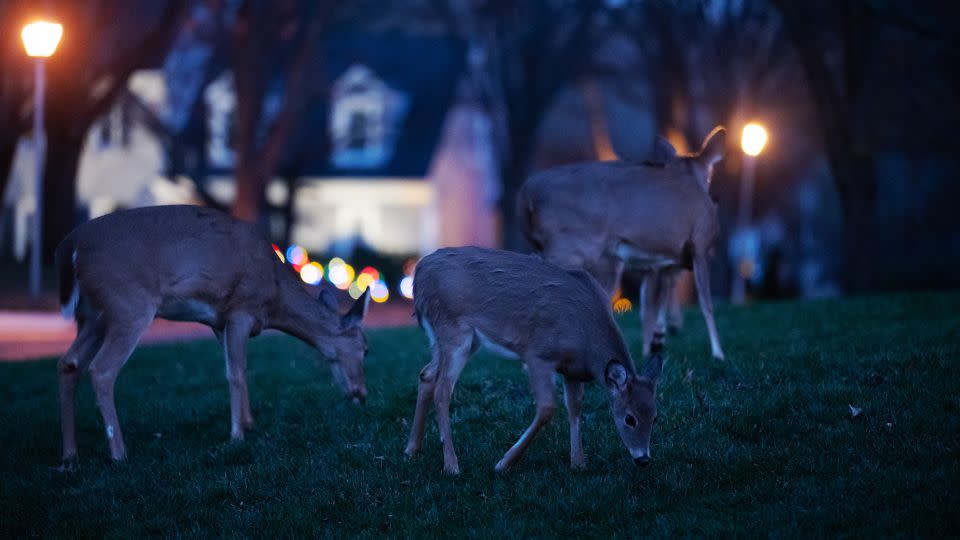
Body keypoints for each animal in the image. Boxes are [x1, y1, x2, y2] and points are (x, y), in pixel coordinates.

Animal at [53, 205, 372, 470]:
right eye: (366, 349)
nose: (361, 394)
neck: (275, 296)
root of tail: (71, 245)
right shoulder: (241, 309)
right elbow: (236, 374)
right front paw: (237, 435)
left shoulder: (220, 322)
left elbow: (237, 368)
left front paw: (249, 423)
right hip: (127, 305)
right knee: (102, 370)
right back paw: (119, 453)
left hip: (92, 316)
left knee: (69, 363)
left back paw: (70, 455)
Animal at [402, 247, 664, 474]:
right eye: (630, 418)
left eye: (655, 417)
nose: (643, 459)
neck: (586, 337)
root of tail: (419, 273)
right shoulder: (538, 354)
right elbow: (548, 407)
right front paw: (504, 463)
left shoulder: (572, 369)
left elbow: (575, 407)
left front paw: (578, 462)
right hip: (454, 329)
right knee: (442, 390)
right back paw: (451, 465)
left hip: (457, 338)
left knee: (427, 375)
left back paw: (412, 449)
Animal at [516, 127, 728, 358]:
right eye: (710, 175)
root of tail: (526, 195)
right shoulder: (700, 244)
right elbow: (706, 303)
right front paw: (718, 354)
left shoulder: (658, 263)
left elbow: (650, 309)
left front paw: (653, 347)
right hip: (573, 248)